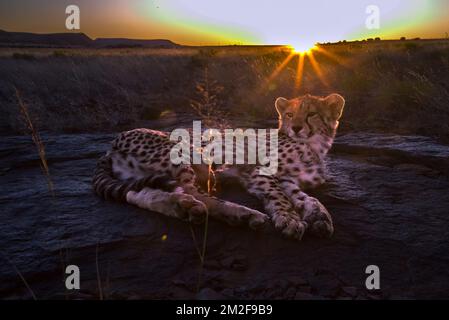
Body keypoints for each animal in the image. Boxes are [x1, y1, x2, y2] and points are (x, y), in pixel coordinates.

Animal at [93, 92, 344, 240]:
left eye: (311, 114)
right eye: (290, 114)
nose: (296, 127)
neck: (313, 146)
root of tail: (112, 143)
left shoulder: (289, 179)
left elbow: (306, 197)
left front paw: (319, 214)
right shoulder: (259, 171)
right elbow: (279, 196)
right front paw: (290, 219)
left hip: (142, 175)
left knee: (139, 194)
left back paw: (183, 207)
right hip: (187, 152)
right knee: (194, 190)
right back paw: (240, 213)